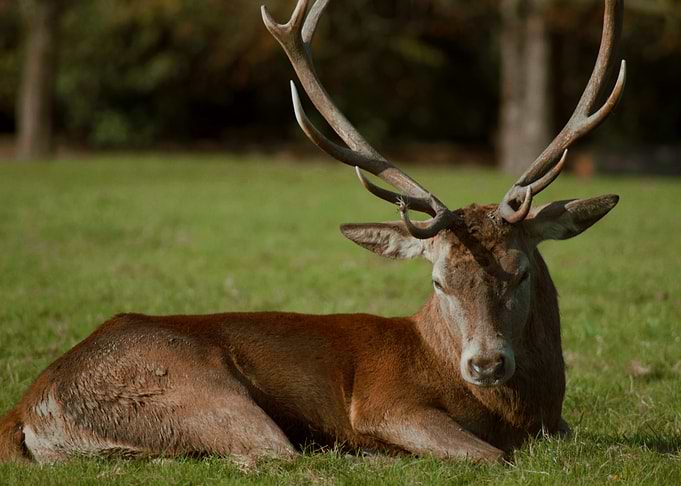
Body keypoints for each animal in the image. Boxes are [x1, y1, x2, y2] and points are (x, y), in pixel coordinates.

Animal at [0, 0, 625, 465]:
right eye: (440, 281)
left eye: (521, 273)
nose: (486, 364)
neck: (523, 417)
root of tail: (28, 406)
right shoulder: (383, 399)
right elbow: (491, 456)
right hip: (195, 390)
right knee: (264, 454)